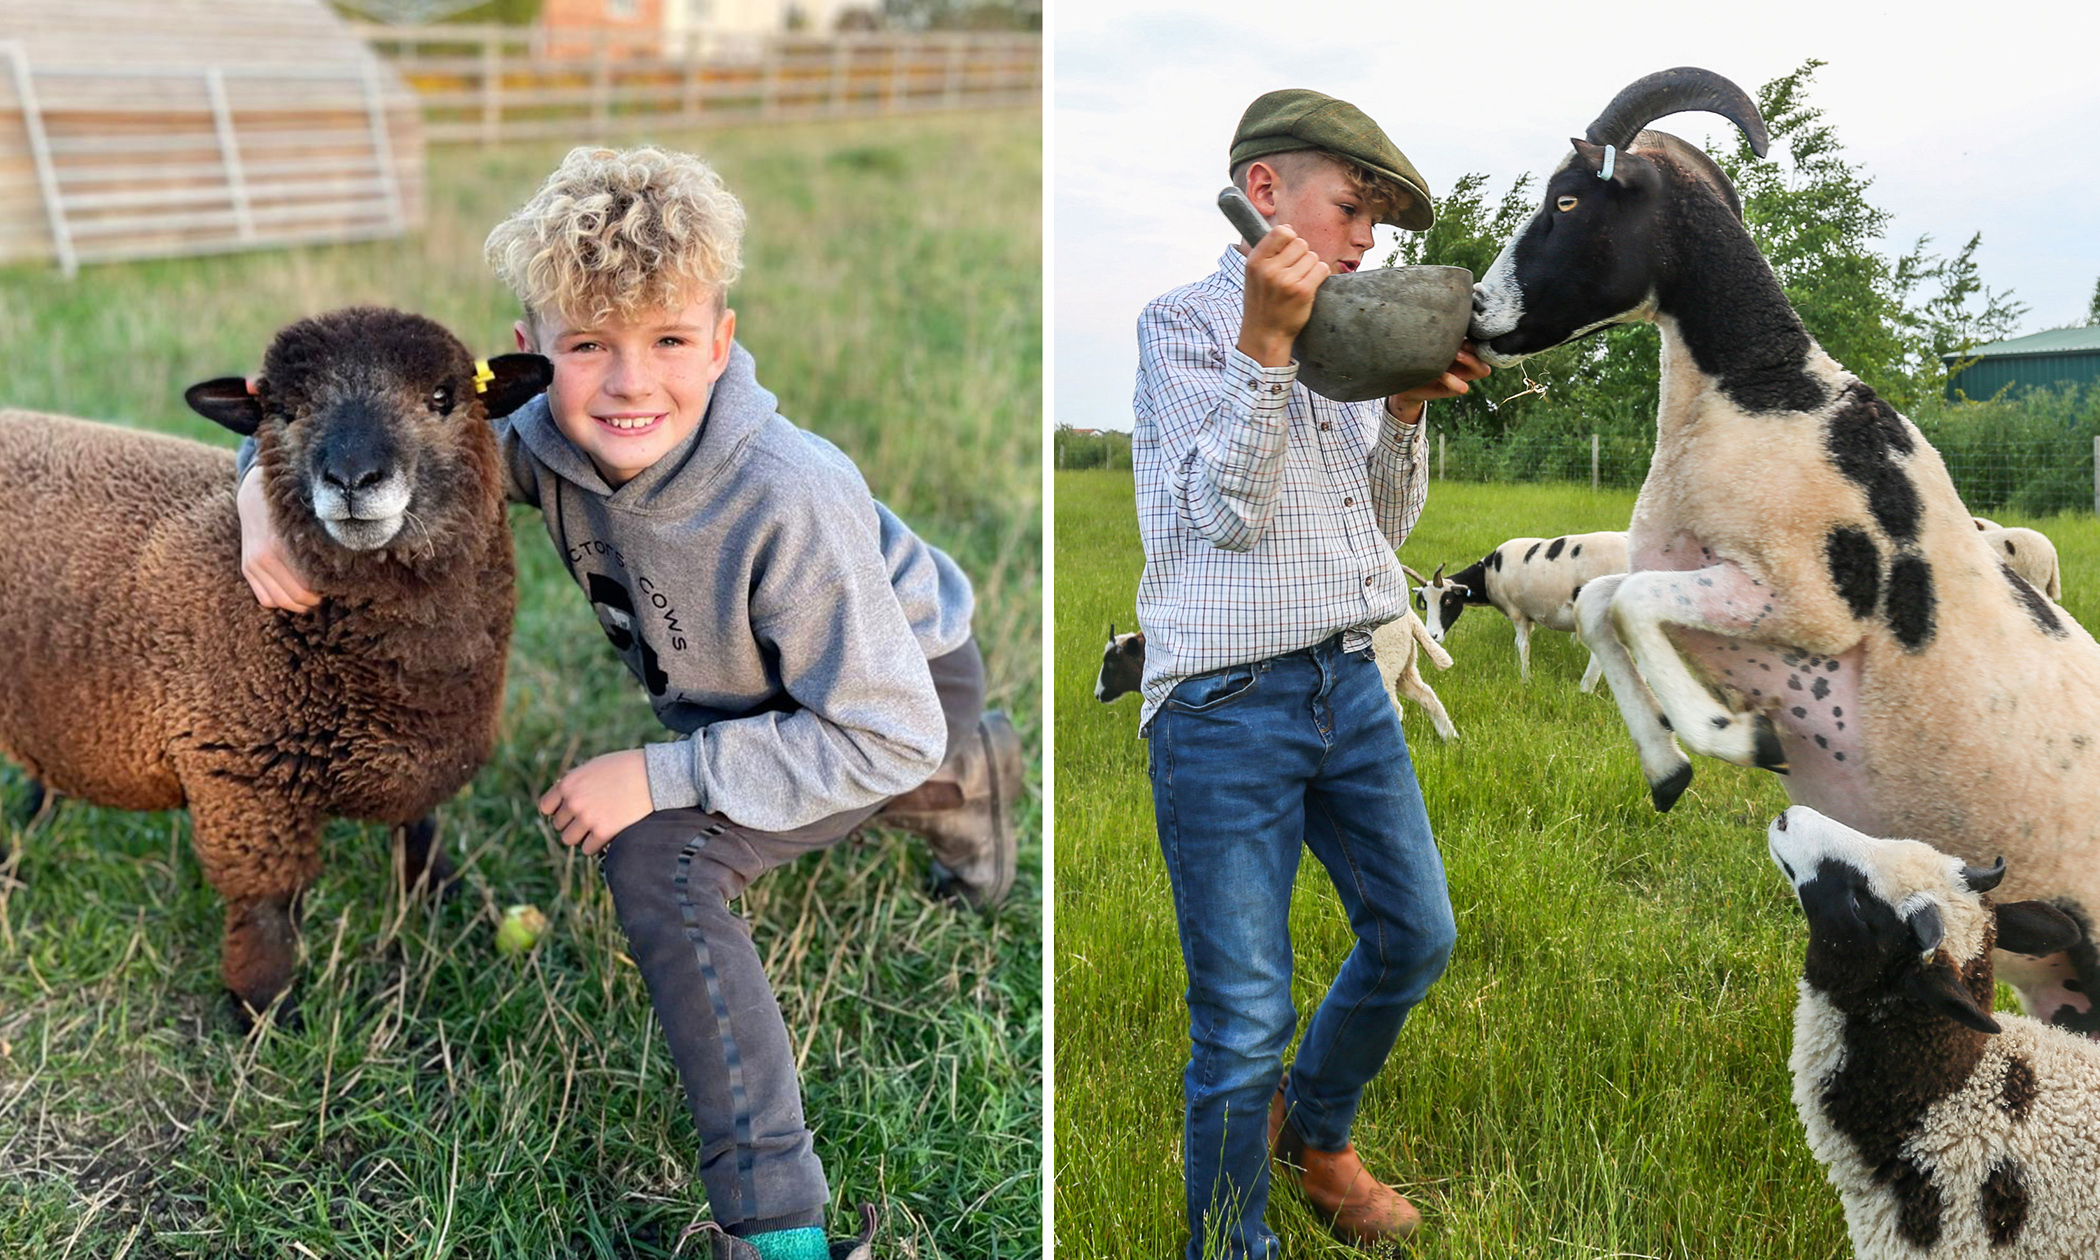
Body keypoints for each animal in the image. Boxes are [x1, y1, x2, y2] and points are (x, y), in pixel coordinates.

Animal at [0, 306, 550, 1024]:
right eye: (284, 411)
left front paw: (446, 899)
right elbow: (268, 905)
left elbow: (419, 830)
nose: (353, 479)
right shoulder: (243, 778)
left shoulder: (421, 749)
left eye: (442, 397)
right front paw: (264, 1010)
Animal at [1469, 66, 2100, 1033]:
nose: (1474, 312)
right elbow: (1602, 604)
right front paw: (1667, 769)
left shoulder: (1805, 601)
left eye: (1567, 199)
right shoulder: (1693, 574)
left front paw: (1741, 738)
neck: (1764, 390)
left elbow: (1627, 603)